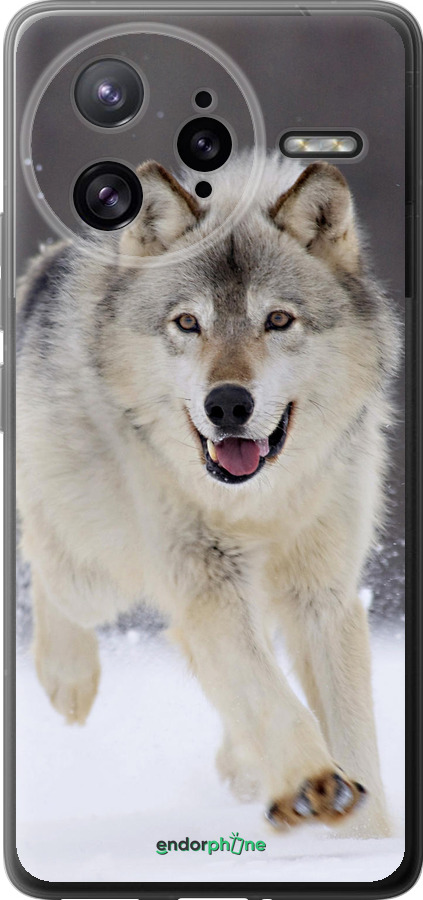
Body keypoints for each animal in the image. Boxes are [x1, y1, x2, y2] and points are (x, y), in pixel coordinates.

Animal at [17, 153, 399, 838]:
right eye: (188, 323)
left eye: (278, 320)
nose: (227, 404)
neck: (258, 502)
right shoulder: (207, 582)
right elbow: (269, 695)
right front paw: (313, 783)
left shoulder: (322, 593)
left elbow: (351, 731)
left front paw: (366, 837)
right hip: (99, 573)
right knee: (45, 560)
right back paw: (68, 679)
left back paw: (244, 766)